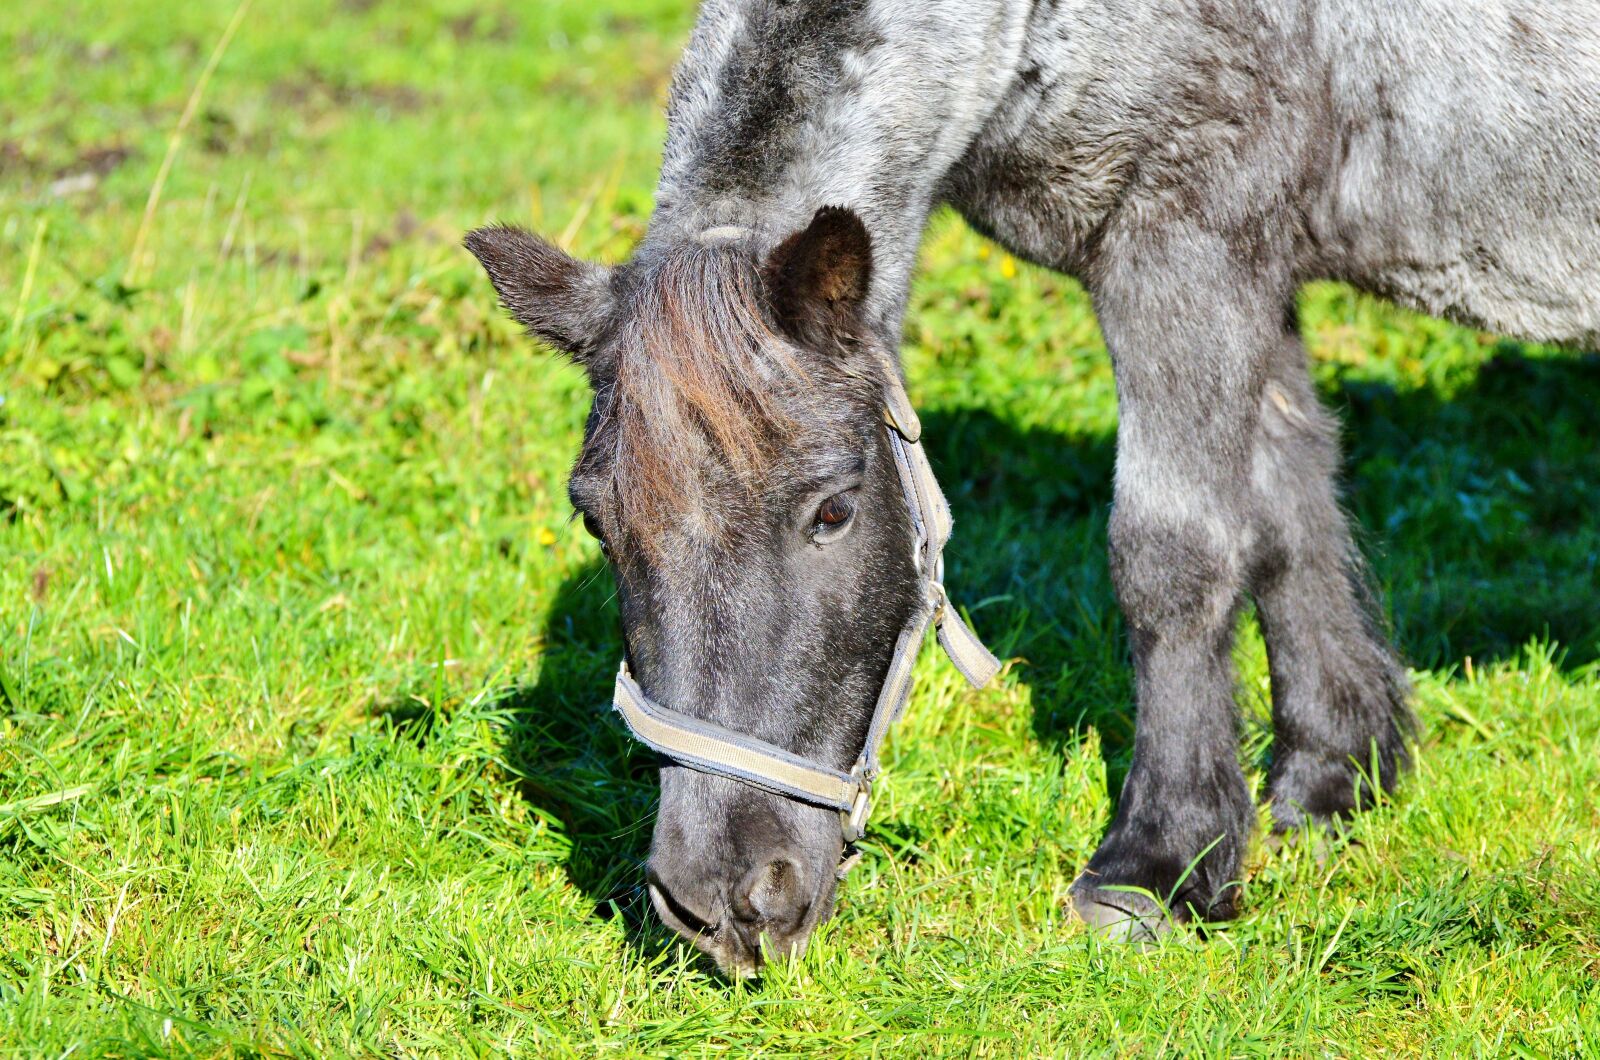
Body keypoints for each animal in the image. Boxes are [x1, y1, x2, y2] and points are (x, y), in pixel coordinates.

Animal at [466, 0, 1600, 975]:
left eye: (833, 510)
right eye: (596, 520)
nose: (720, 904)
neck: (1041, 26)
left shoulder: (1181, 250)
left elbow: (1173, 554)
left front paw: (1159, 865)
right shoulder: (1253, 269)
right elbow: (1287, 507)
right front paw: (1331, 780)